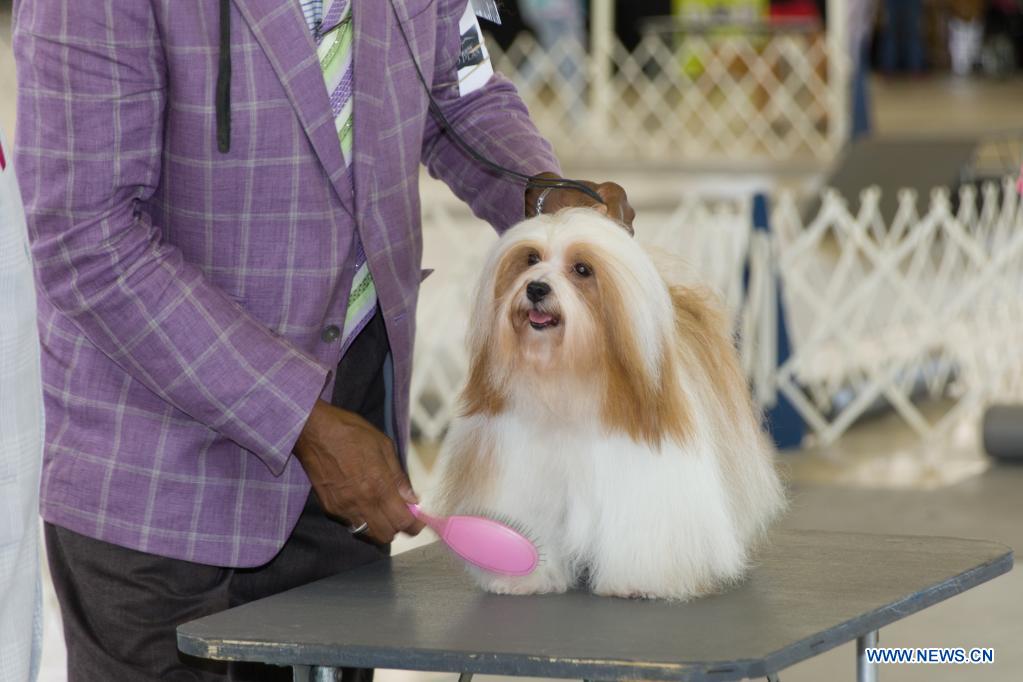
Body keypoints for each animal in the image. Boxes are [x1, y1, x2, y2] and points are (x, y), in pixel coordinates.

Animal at [429, 209, 781, 601]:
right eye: (531, 259)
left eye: (582, 269)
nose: (535, 288)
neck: (567, 376)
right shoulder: (524, 472)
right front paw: (524, 578)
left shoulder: (641, 474)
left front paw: (639, 583)